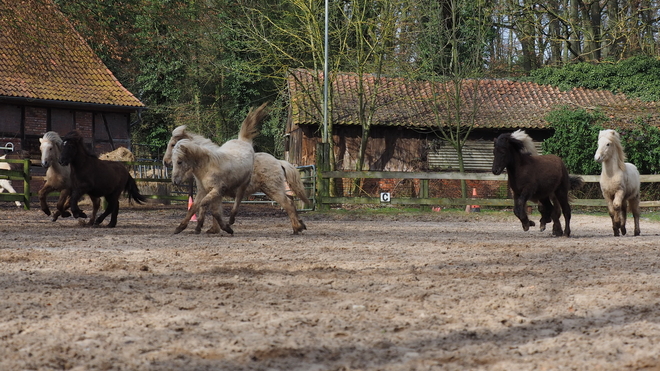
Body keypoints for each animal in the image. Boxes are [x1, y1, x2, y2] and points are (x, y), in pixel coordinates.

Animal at [169, 103, 264, 234]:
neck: (207, 168)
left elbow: (206, 206)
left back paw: (231, 220)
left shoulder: (217, 190)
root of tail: (243, 141)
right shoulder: (203, 191)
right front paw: (180, 227)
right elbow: (195, 207)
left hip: (243, 184)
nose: (175, 181)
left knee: (238, 200)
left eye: (179, 161)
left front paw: (222, 228)